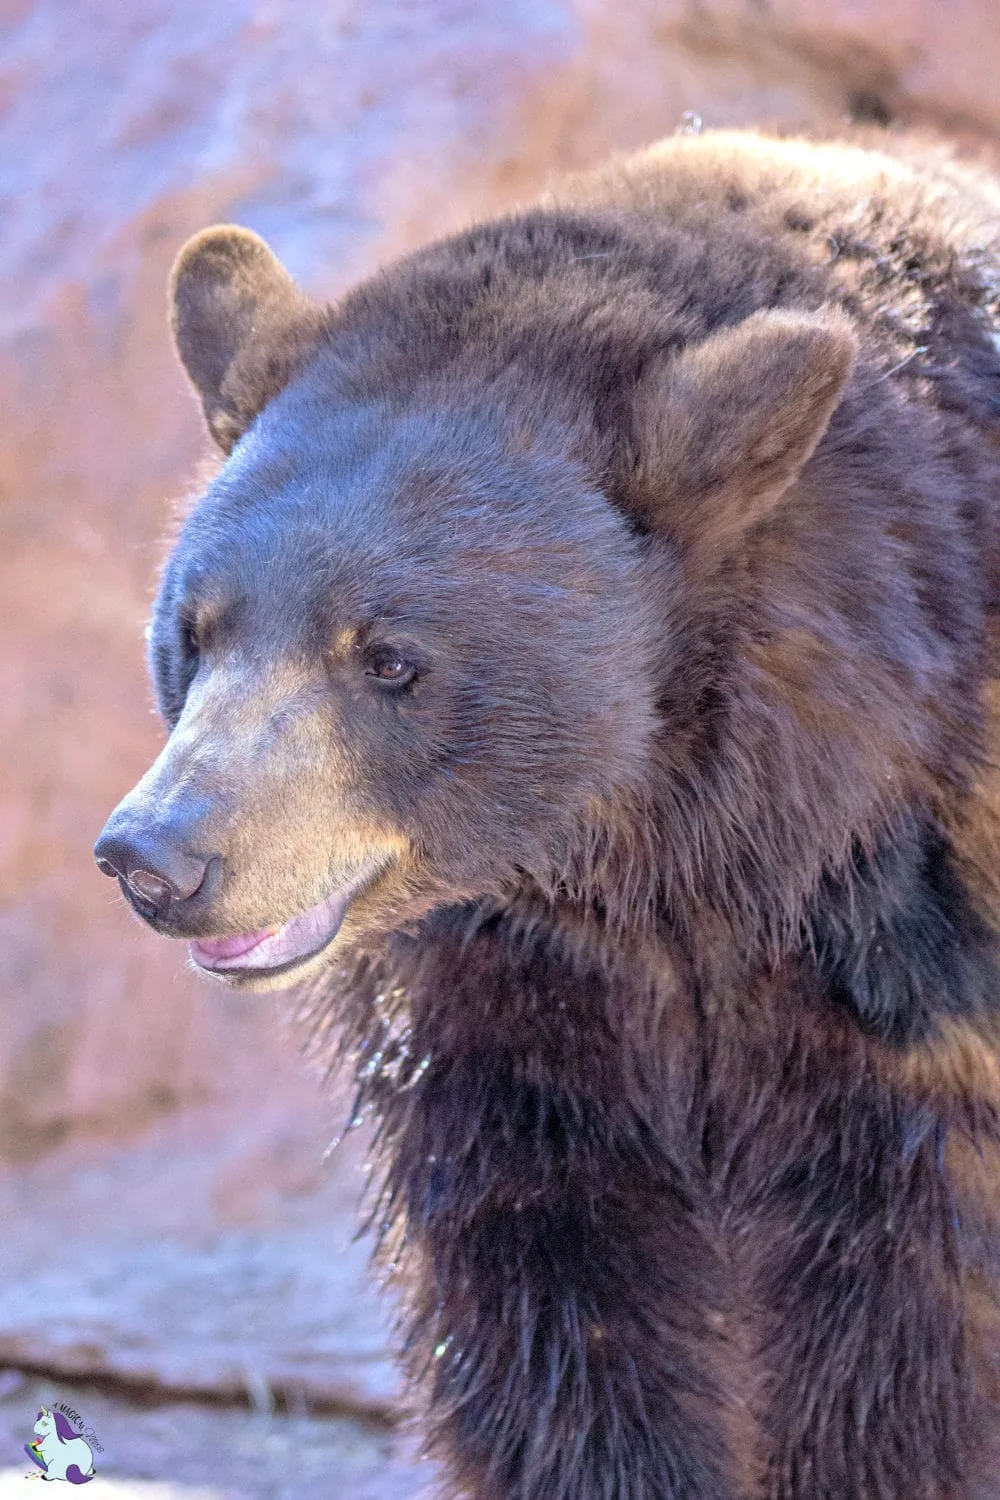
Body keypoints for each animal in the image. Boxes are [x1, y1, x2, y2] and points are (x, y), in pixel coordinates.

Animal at [95, 132, 1000, 1500]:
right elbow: (545, 1292)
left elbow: (907, 1314)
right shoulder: (505, 1003)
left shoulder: (918, 965)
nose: (157, 857)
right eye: (195, 630)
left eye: (391, 658)